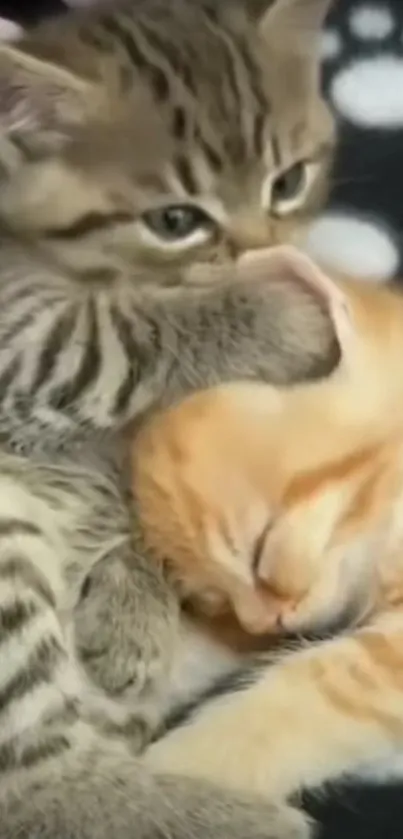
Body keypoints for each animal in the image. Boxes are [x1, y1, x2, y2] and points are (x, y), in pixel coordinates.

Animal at [0, 0, 336, 836]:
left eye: (289, 181)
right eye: (175, 219)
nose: (259, 248)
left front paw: (133, 605)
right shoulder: (24, 335)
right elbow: (124, 337)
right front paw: (285, 316)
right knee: (31, 783)